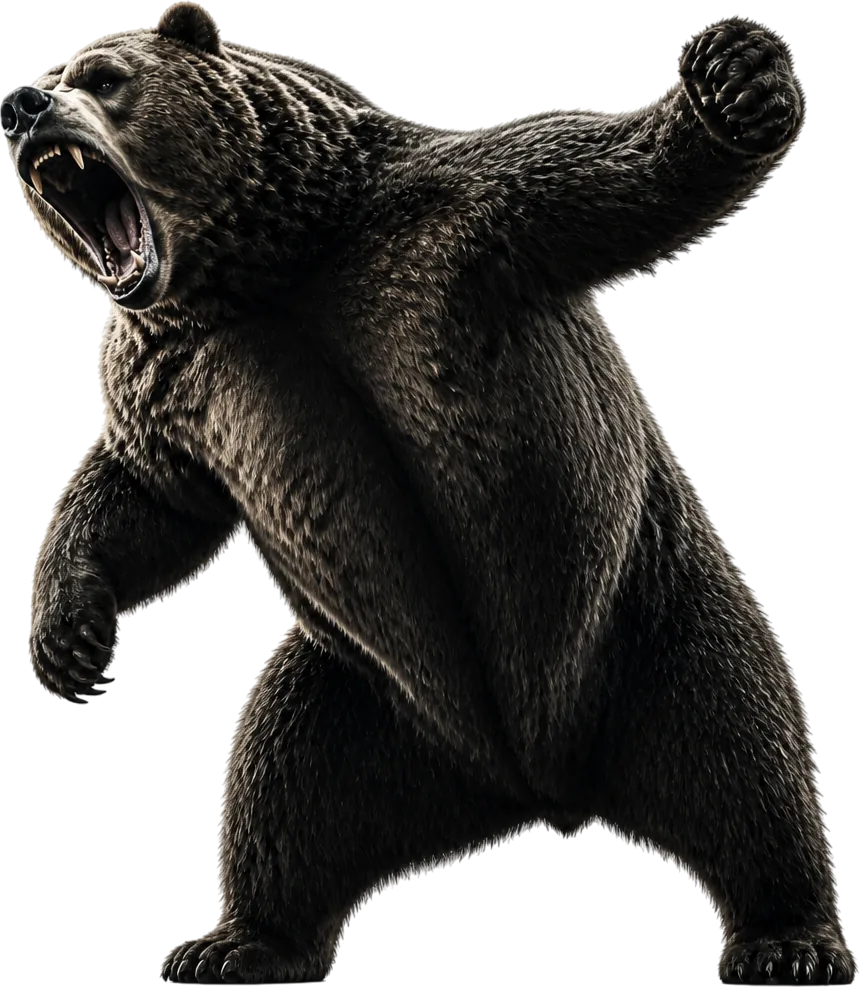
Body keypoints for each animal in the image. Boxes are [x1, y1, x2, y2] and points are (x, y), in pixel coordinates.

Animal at [8, 4, 854, 983]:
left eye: (103, 76)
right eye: (52, 72)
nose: (22, 105)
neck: (262, 270)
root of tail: (534, 781)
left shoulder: (461, 221)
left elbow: (615, 180)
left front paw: (736, 78)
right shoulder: (171, 367)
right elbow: (147, 493)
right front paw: (68, 639)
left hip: (645, 621)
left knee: (743, 749)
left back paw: (790, 938)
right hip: (364, 696)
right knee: (280, 786)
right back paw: (235, 940)